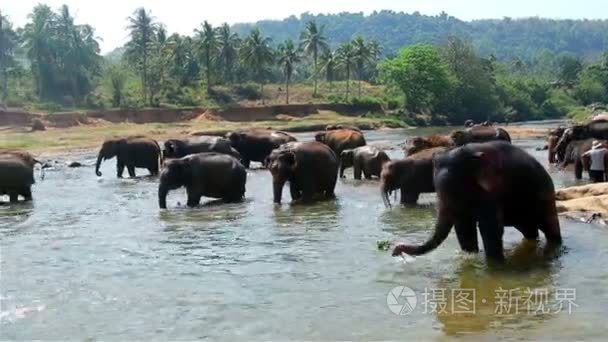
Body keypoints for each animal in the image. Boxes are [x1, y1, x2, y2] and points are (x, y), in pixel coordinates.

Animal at [392, 141, 564, 262]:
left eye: (457, 188)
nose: (395, 250)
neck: (472, 155)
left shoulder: (493, 189)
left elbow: (490, 227)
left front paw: (495, 265)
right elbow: (464, 227)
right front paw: (470, 257)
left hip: (544, 194)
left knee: (549, 227)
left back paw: (552, 250)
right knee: (528, 229)